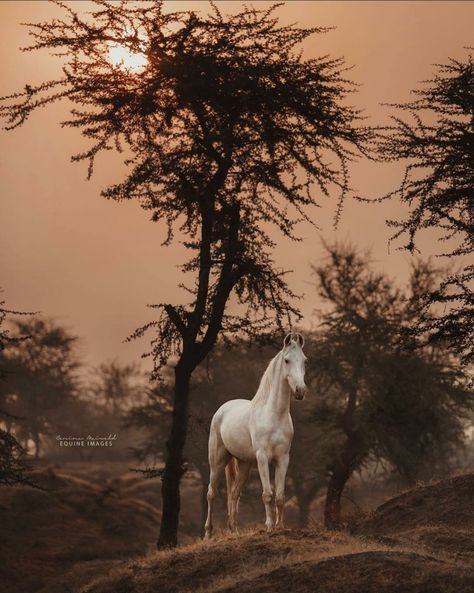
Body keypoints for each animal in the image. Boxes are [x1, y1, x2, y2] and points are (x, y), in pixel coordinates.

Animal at [204, 330, 308, 540]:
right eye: (286, 360)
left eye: (304, 361)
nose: (300, 391)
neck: (273, 415)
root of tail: (222, 410)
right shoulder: (262, 457)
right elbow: (267, 494)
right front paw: (268, 527)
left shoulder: (283, 458)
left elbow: (280, 496)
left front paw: (280, 526)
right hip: (218, 459)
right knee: (211, 493)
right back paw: (208, 534)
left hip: (244, 464)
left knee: (235, 493)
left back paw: (234, 530)